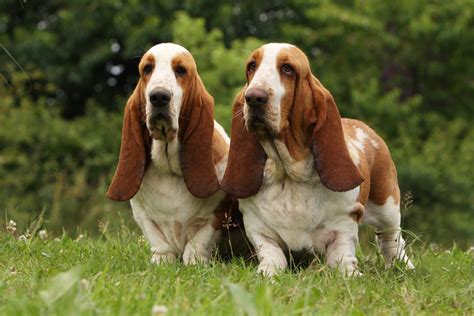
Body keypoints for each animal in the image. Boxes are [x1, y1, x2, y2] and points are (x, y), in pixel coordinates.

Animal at [108, 42, 233, 264]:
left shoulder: (218, 213)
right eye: (147, 69)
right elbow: (159, 242)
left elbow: (198, 242)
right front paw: (162, 261)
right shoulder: (142, 215)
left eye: (181, 70)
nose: (159, 96)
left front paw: (194, 262)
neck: (169, 169)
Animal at [221, 43, 412, 276]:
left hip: (388, 206)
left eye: (287, 69)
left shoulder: (344, 223)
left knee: (392, 240)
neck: (288, 175)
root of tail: (363, 127)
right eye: (251, 66)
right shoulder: (258, 229)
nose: (254, 97)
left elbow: (342, 259)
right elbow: (272, 257)